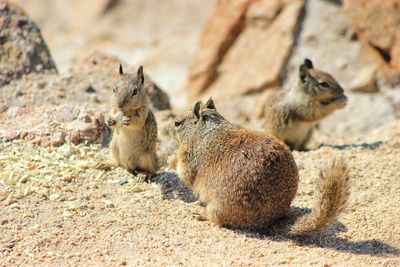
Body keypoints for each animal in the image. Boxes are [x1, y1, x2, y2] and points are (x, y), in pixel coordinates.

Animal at [173, 99, 348, 236]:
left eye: (177, 123)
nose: (170, 125)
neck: (204, 131)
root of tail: (274, 219)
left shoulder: (190, 156)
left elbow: (185, 172)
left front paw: (172, 159)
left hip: (218, 205)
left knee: (216, 219)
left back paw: (200, 212)